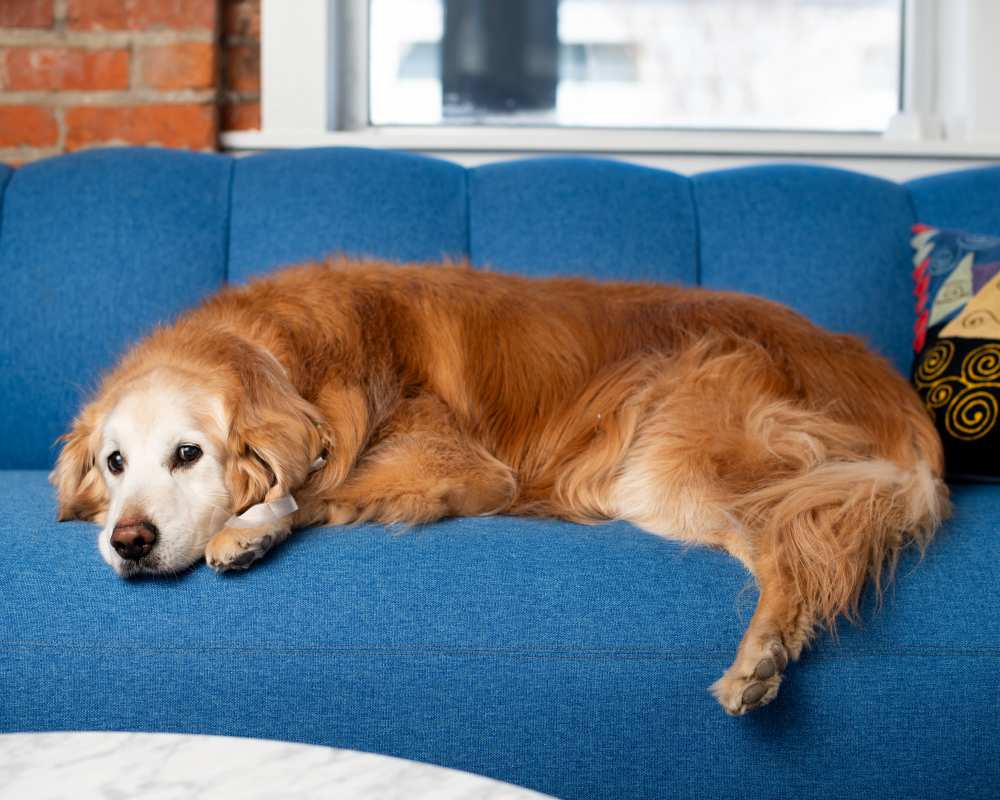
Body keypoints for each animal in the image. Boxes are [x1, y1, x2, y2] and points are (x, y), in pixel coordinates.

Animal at [52, 260, 944, 716]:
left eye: (188, 454)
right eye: (115, 463)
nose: (129, 543)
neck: (288, 353)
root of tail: (887, 385)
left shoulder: (464, 466)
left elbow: (321, 485)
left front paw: (251, 527)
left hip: (675, 459)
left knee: (799, 550)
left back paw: (762, 656)